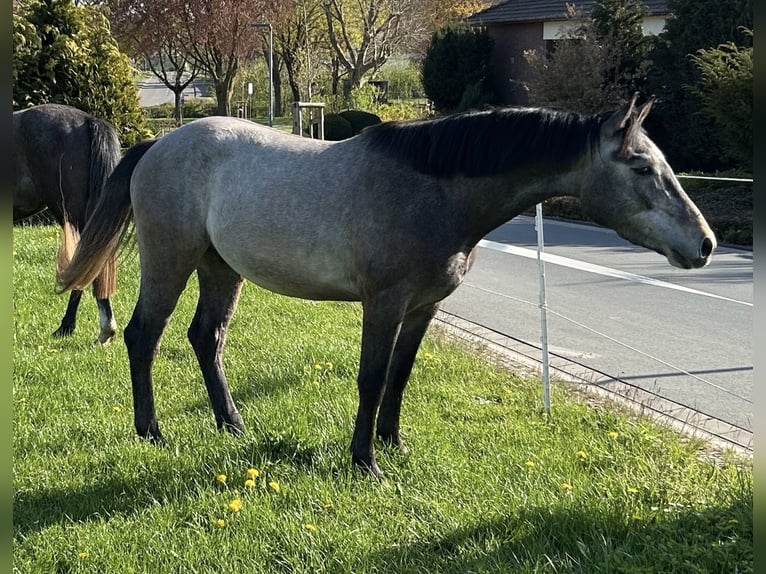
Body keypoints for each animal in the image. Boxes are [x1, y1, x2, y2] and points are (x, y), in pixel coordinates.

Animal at [57, 93, 716, 478]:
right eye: (641, 167)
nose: (705, 244)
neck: (433, 186)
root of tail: (157, 144)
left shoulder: (422, 308)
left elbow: (400, 374)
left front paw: (393, 445)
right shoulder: (384, 302)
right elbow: (371, 377)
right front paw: (364, 461)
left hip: (221, 267)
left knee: (205, 338)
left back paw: (232, 426)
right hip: (171, 261)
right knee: (144, 336)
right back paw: (152, 432)